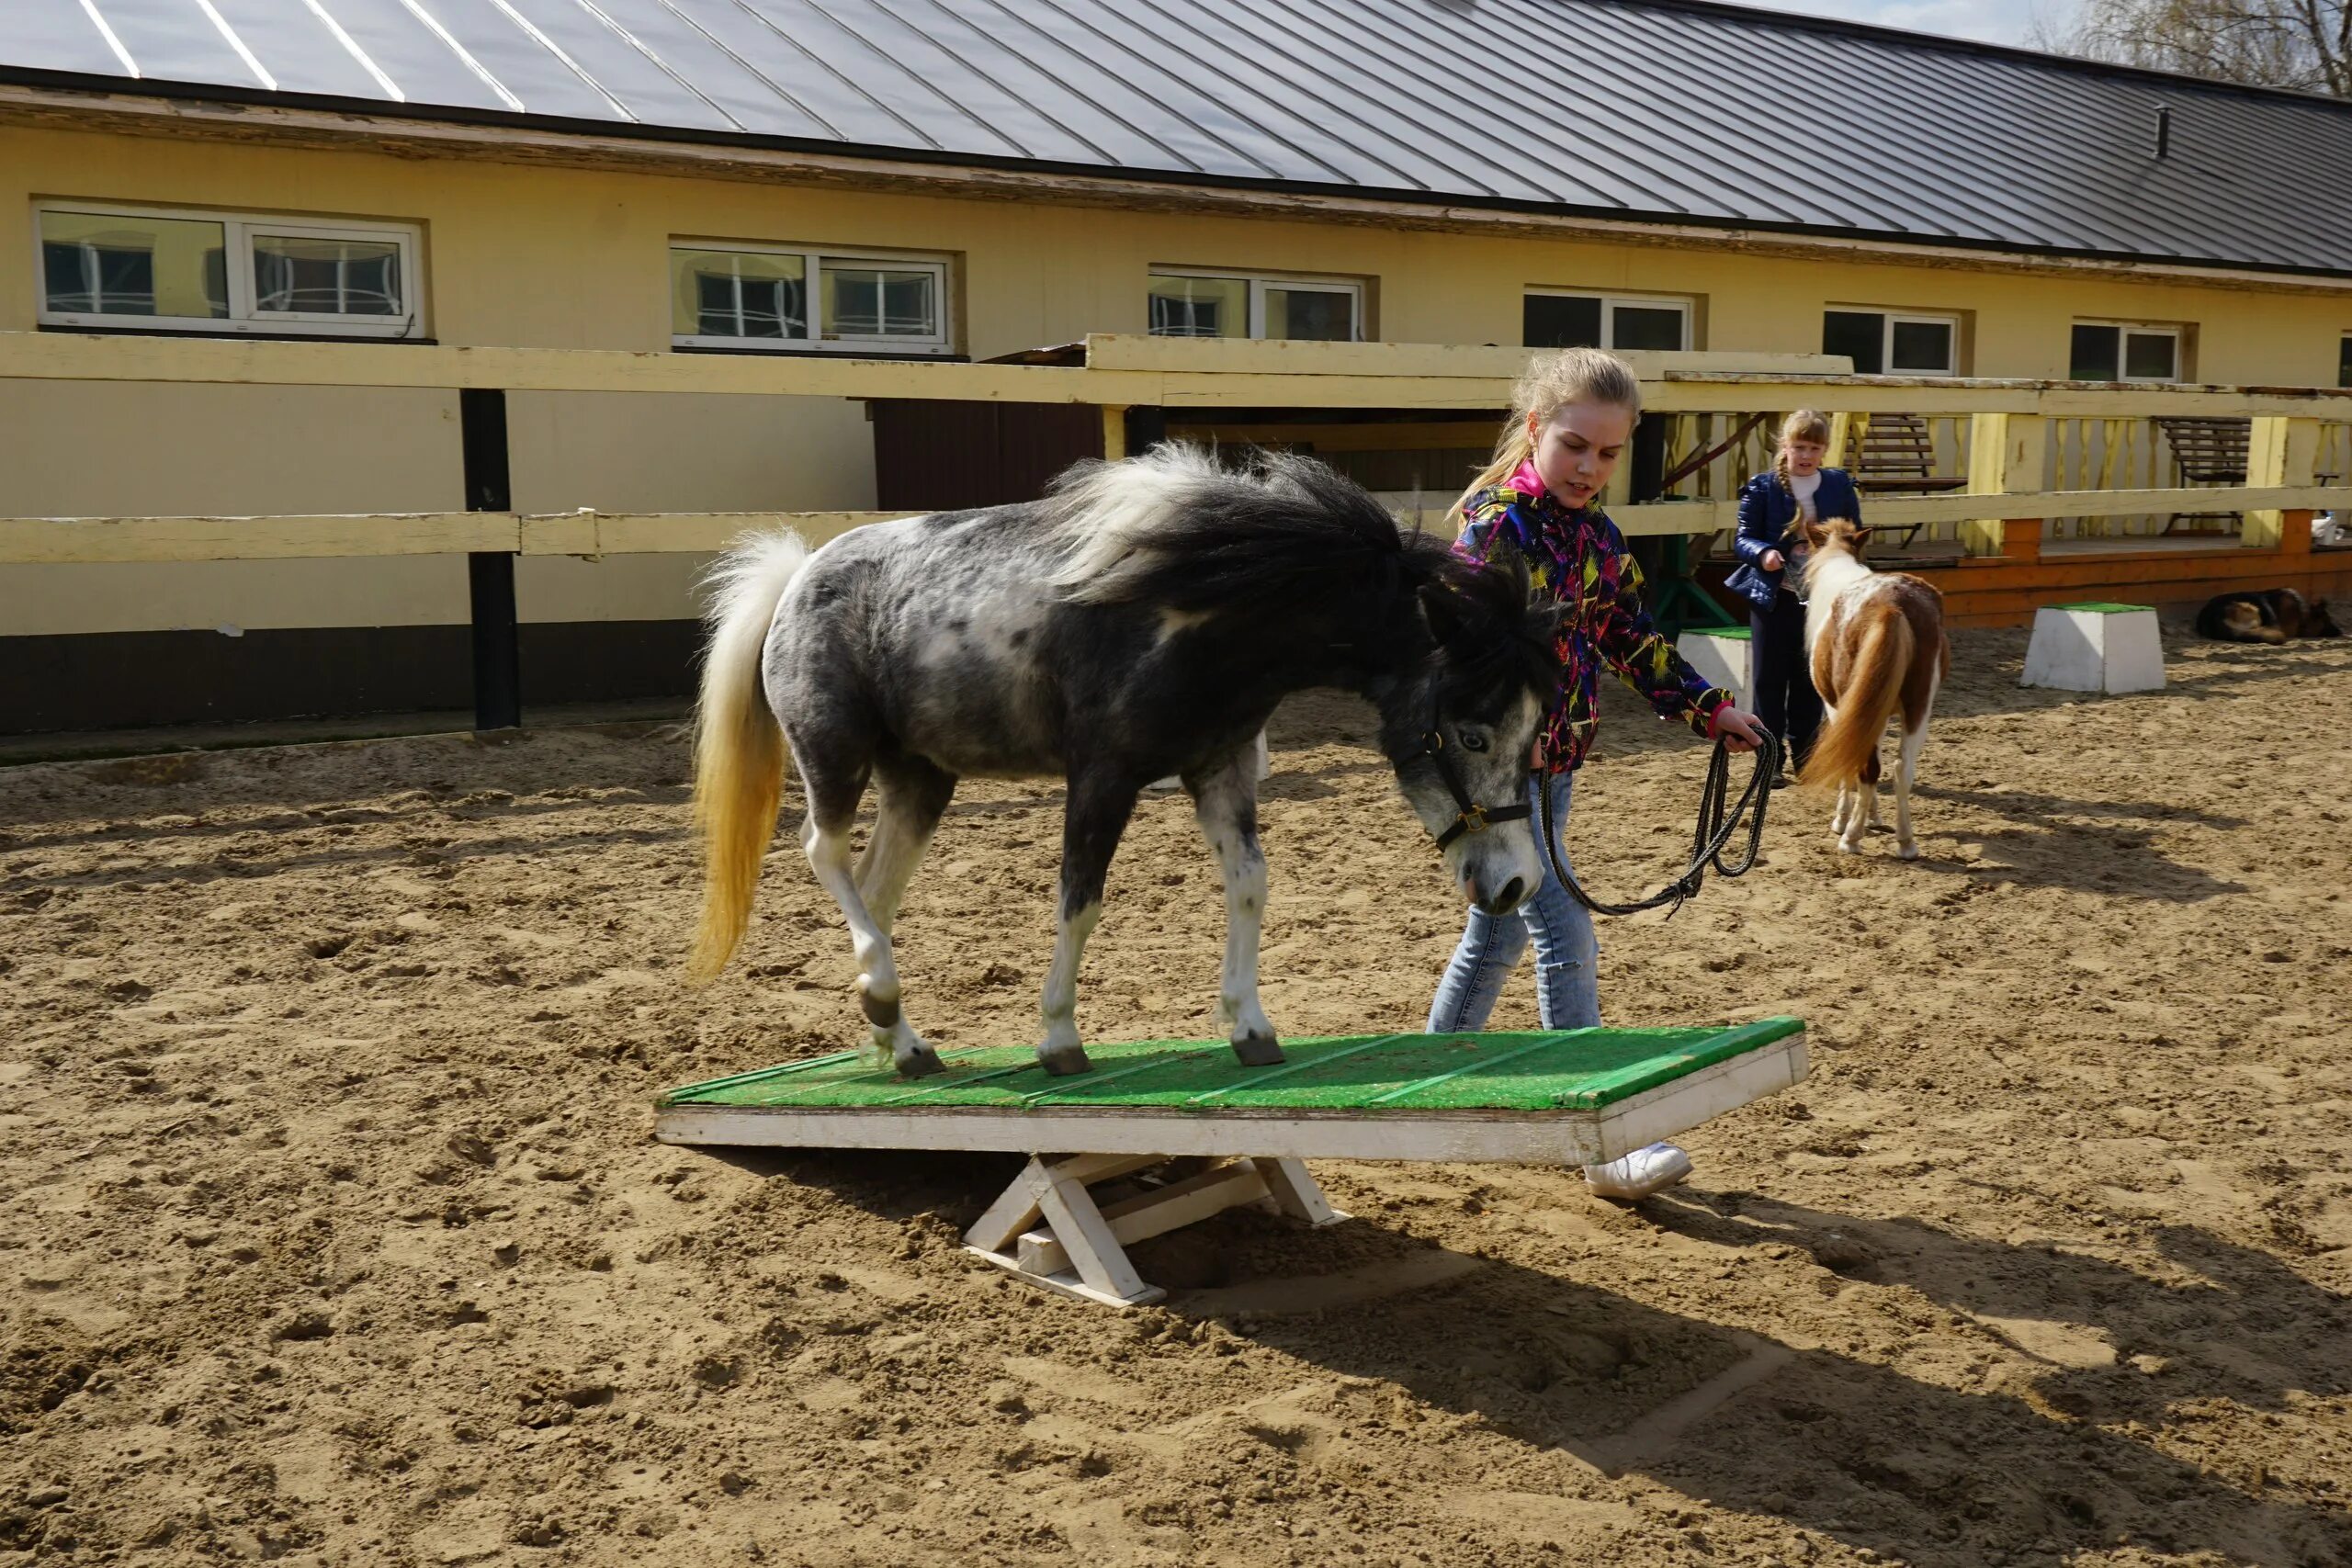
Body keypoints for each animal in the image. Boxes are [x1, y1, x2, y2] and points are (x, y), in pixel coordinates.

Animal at [686, 444, 1561, 1081]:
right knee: (822, 852)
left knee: (874, 889)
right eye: (1472, 734)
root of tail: (796, 577)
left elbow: (1250, 885)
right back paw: (881, 991)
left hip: (921, 780)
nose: (1517, 883)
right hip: (834, 754)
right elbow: (1081, 900)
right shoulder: (1102, 778)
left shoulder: (1221, 770)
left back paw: (898, 1040)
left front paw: (1251, 1026)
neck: (1208, 608)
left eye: (1533, 733)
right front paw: (1058, 1038)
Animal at [1796, 517, 1947, 860]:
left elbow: (1850, 763)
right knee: (1902, 769)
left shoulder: (1839, 709)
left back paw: (1851, 838)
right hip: (1919, 709)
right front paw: (1874, 816)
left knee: (1869, 768)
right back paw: (1906, 842)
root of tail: (1891, 606)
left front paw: (1844, 820)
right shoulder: (1876, 710)